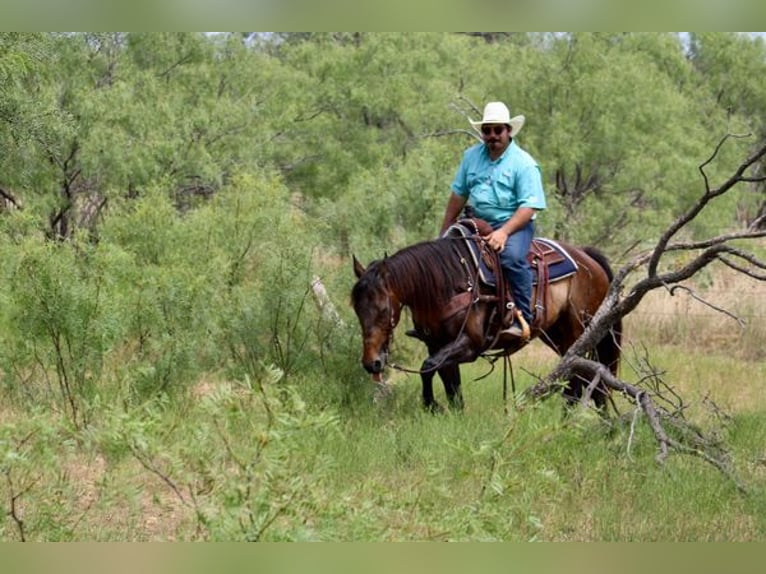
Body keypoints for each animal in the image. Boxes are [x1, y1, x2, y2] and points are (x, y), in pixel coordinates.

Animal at [352, 220, 624, 414]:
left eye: (383, 310)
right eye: (356, 309)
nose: (371, 363)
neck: (445, 283)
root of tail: (586, 256)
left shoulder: (470, 344)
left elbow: (427, 367)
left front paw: (431, 405)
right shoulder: (438, 345)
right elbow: (451, 387)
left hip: (577, 331)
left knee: (579, 379)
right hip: (557, 335)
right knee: (588, 376)